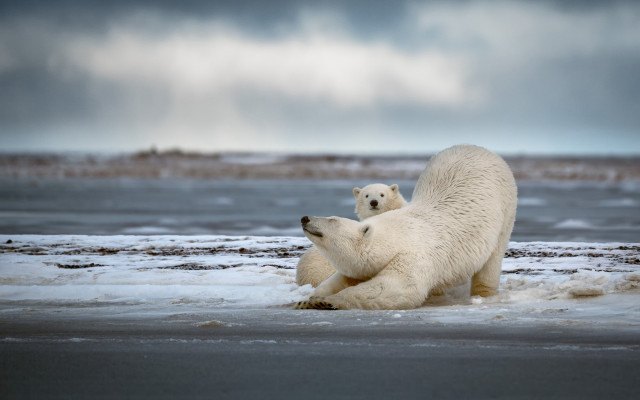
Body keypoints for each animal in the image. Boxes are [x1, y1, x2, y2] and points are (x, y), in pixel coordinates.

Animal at [295, 144, 517, 310]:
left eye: (332, 219)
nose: (305, 218)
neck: (394, 235)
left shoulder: (415, 255)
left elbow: (395, 288)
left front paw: (327, 301)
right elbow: (344, 278)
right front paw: (308, 299)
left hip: (505, 208)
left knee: (492, 259)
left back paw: (483, 294)